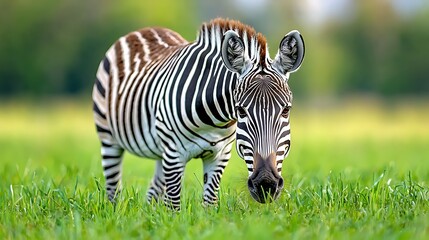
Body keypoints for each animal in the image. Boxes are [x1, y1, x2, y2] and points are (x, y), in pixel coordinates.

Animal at [92, 17, 302, 209]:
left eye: (286, 110)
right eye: (241, 110)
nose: (266, 185)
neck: (214, 120)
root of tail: (144, 30)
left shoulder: (219, 156)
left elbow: (209, 203)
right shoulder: (174, 154)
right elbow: (173, 206)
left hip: (161, 149)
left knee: (153, 193)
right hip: (108, 138)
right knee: (113, 188)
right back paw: (114, 212)